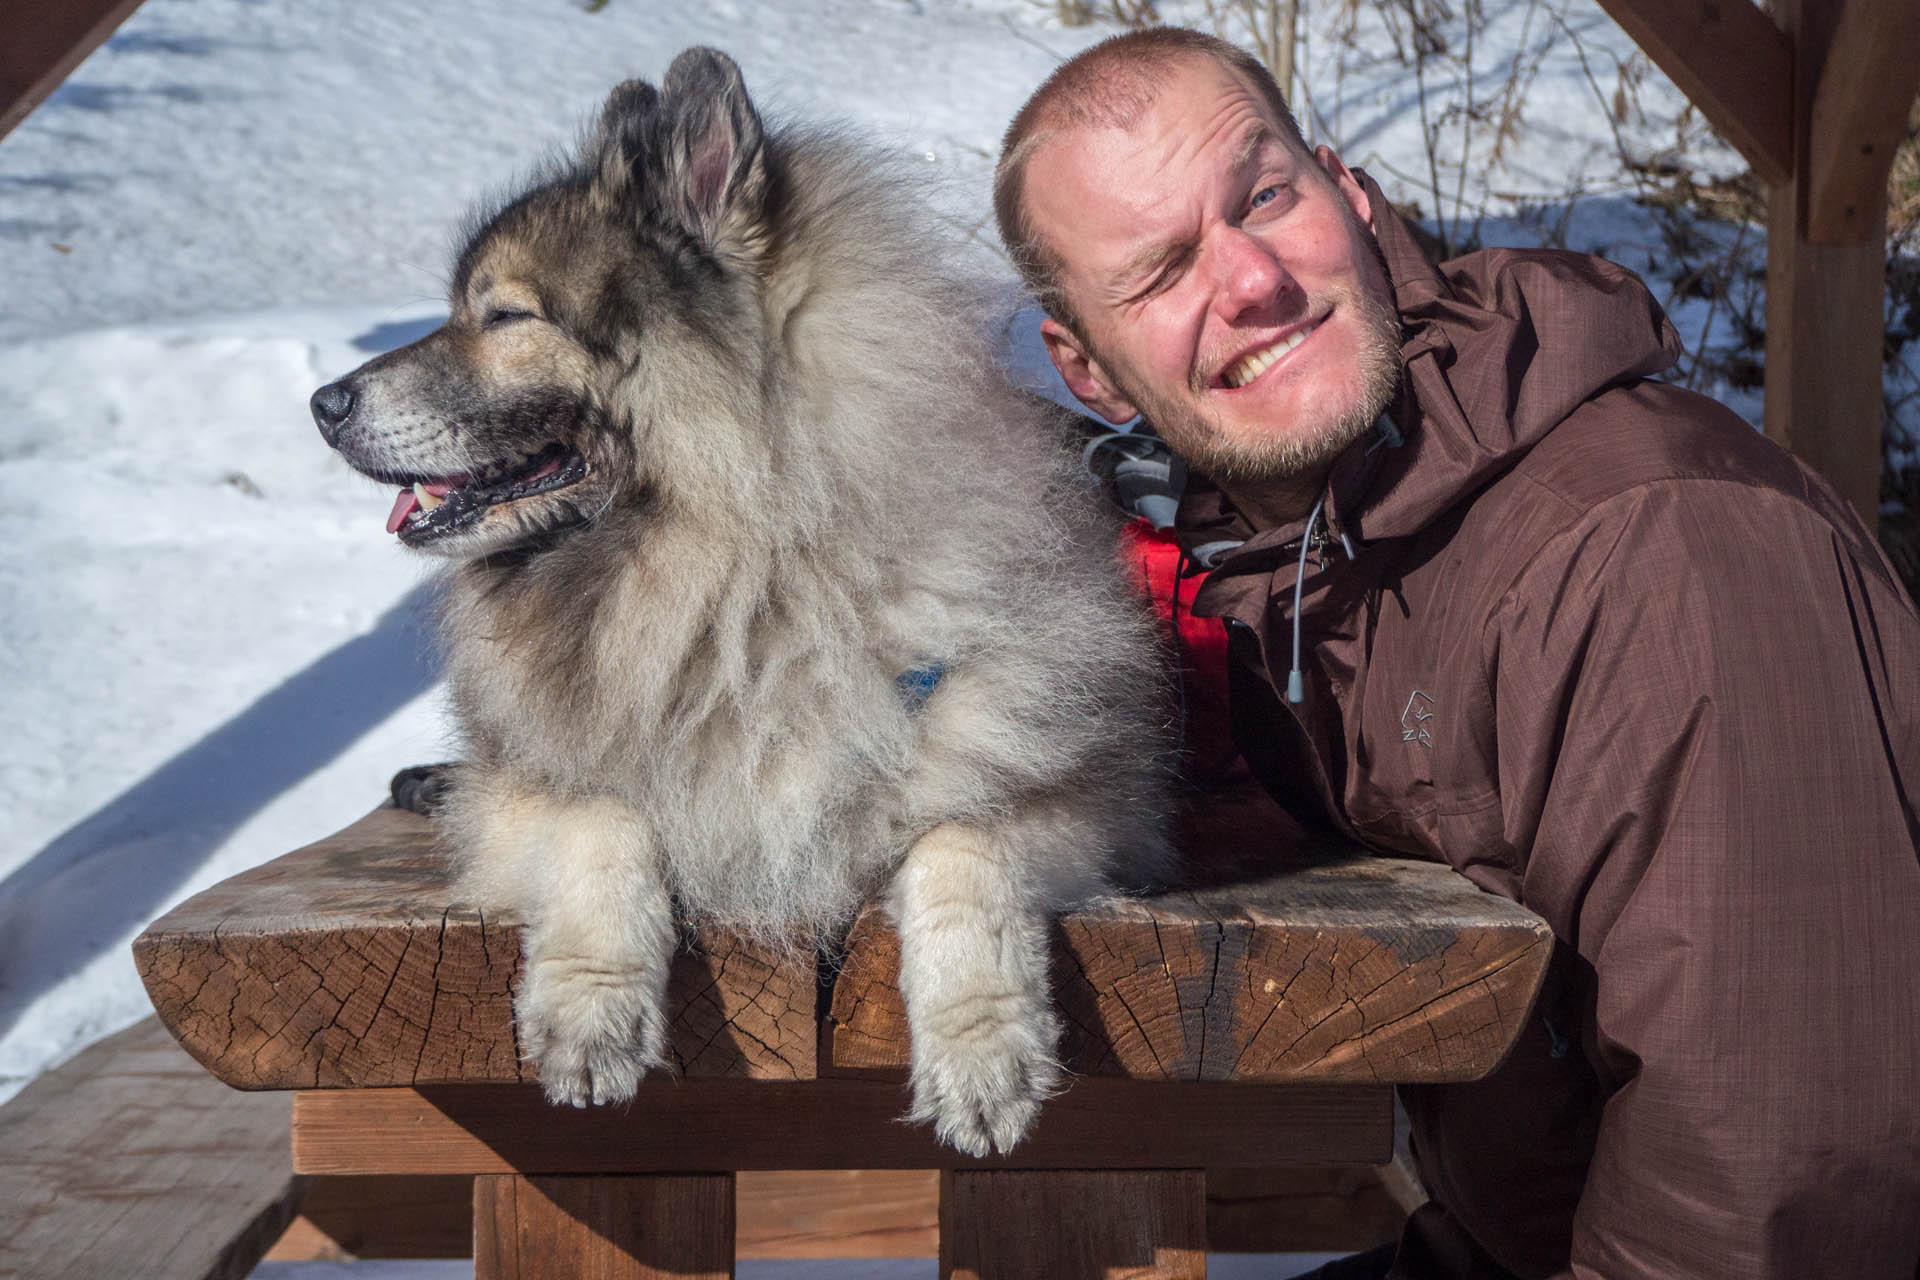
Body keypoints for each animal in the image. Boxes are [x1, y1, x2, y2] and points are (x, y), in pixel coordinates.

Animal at [305, 45, 1167, 1159]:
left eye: (505, 316)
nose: (323, 403)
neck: (736, 583)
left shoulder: (1070, 800)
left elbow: (962, 847)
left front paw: (984, 1056)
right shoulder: (530, 792)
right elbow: (604, 818)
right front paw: (591, 1011)